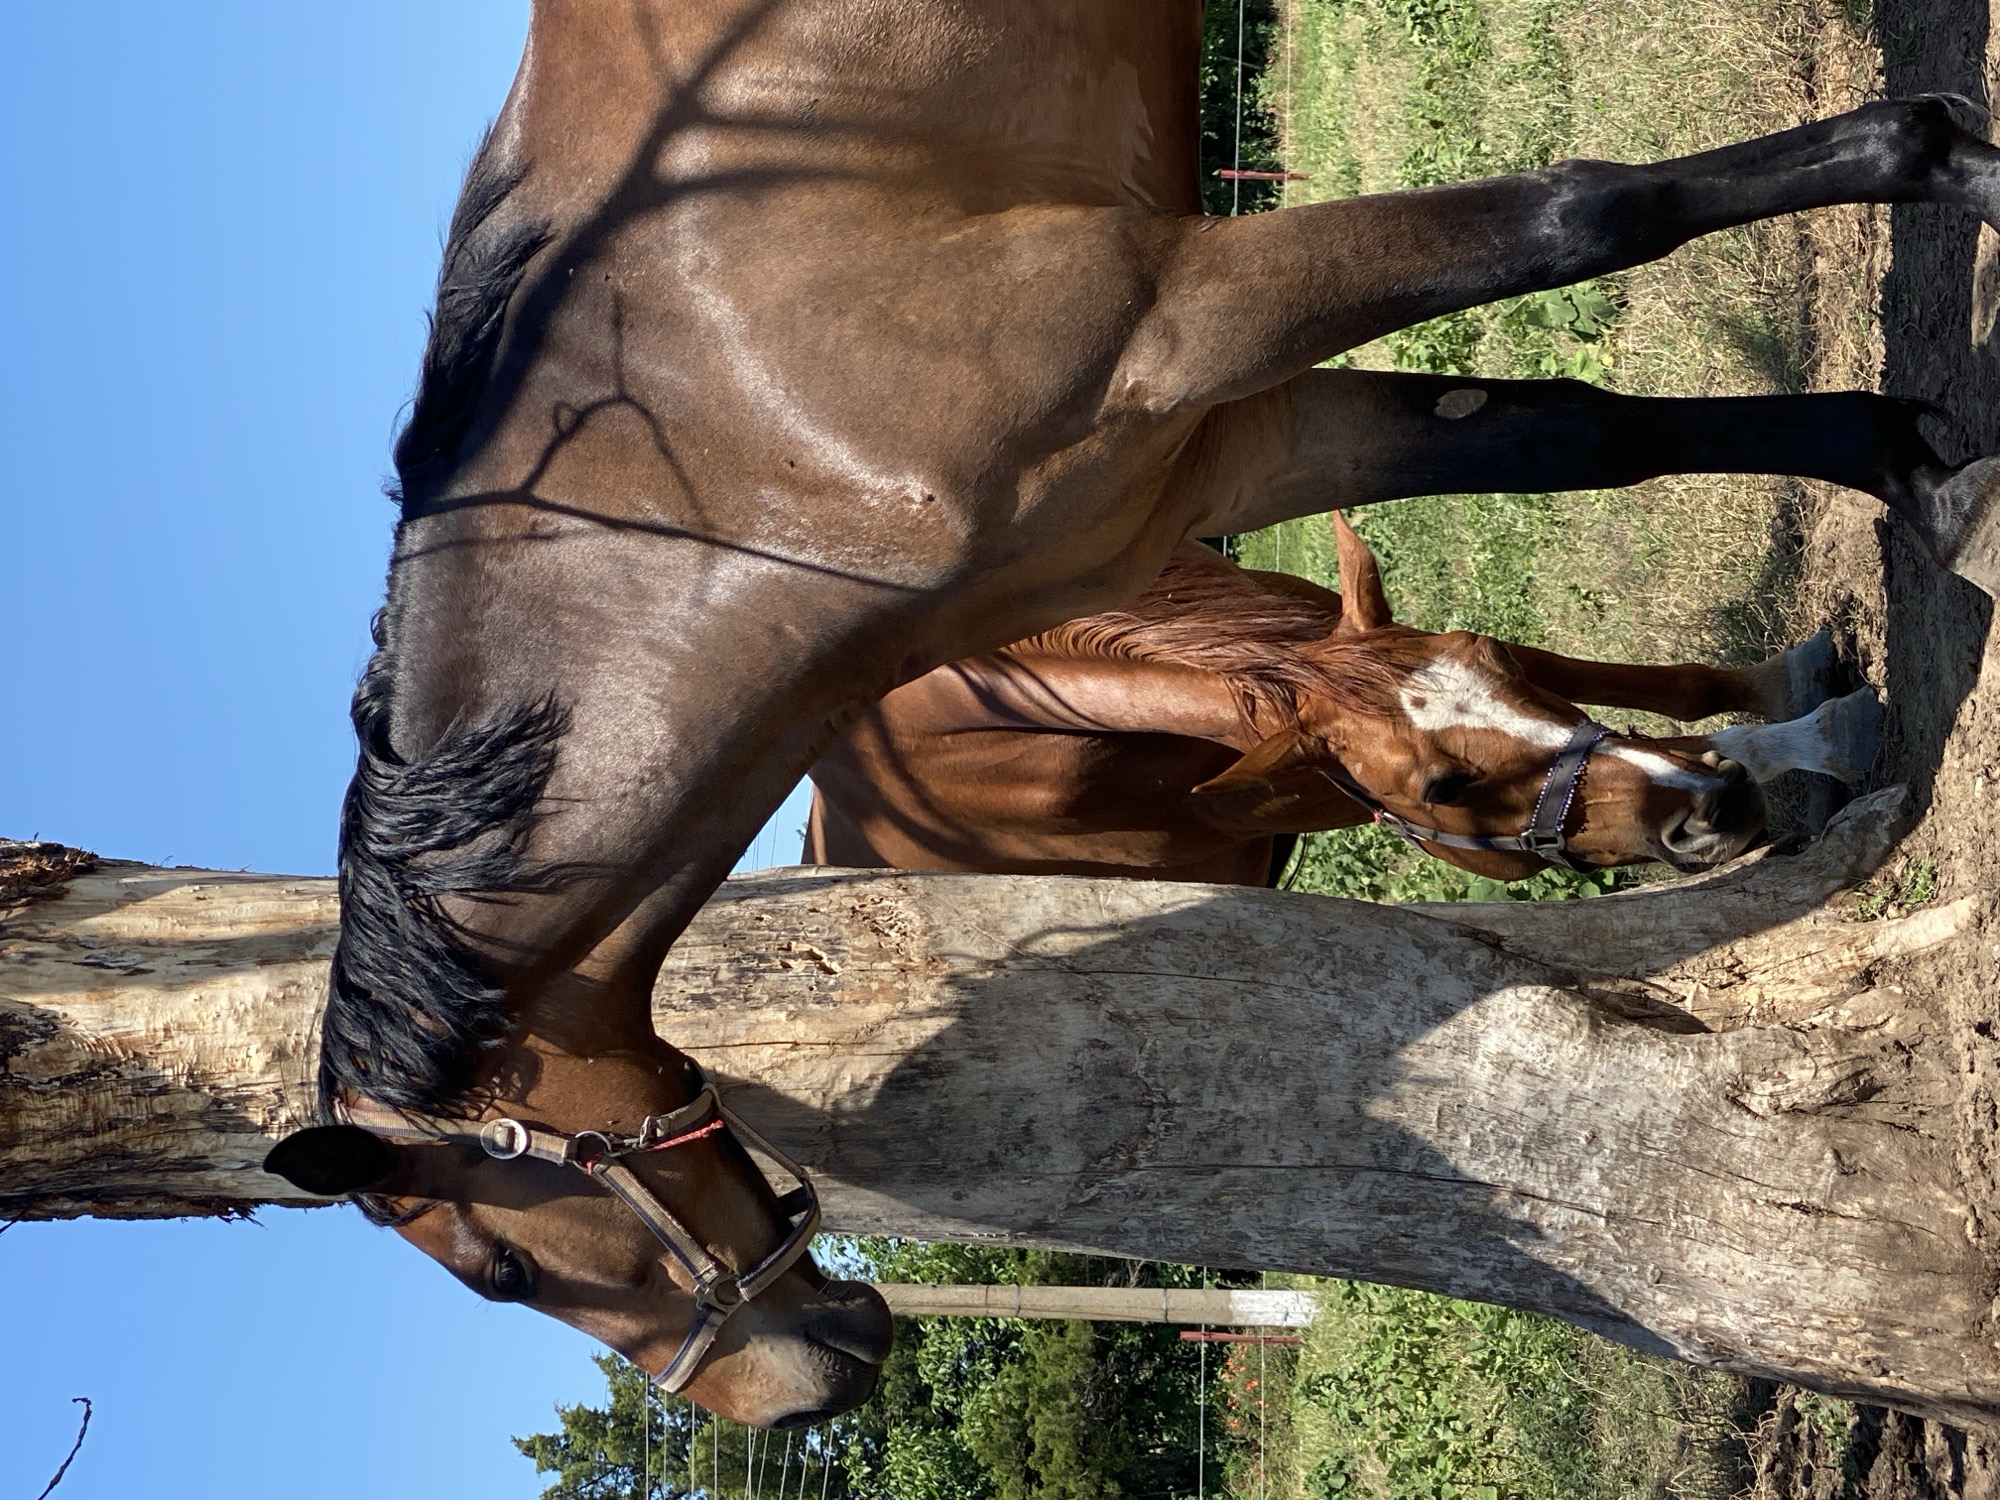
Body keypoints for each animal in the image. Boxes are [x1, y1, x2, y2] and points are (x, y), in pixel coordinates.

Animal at [806, 512, 1879, 886]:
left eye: (1492, 655)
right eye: (1442, 791)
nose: (1711, 807)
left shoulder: (1324, 638)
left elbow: (1653, 688)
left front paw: (1810, 714)